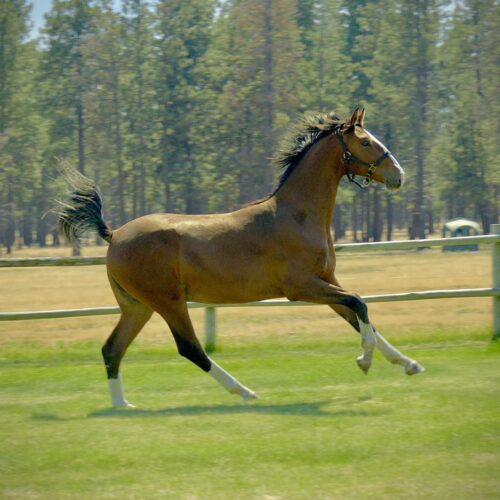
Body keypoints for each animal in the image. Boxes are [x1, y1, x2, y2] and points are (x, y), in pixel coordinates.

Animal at [54, 107, 422, 408]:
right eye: (366, 143)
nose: (399, 175)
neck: (296, 216)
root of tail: (114, 234)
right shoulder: (302, 288)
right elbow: (360, 303)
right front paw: (364, 362)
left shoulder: (326, 282)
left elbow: (360, 316)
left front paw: (409, 364)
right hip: (167, 302)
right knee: (190, 348)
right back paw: (245, 392)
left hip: (137, 306)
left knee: (112, 349)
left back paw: (123, 406)